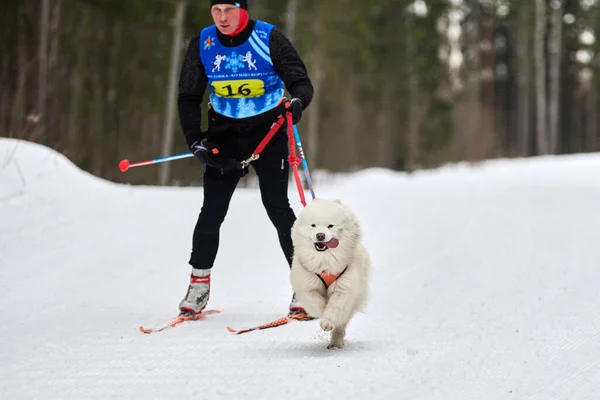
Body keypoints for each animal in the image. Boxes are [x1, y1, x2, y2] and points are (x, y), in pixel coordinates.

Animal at [290, 198, 370, 348]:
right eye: (313, 225)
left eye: (330, 226)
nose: (320, 235)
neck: (325, 261)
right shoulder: (308, 286)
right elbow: (317, 302)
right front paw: (323, 313)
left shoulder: (344, 288)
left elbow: (334, 307)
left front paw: (327, 322)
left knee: (342, 323)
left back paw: (336, 343)